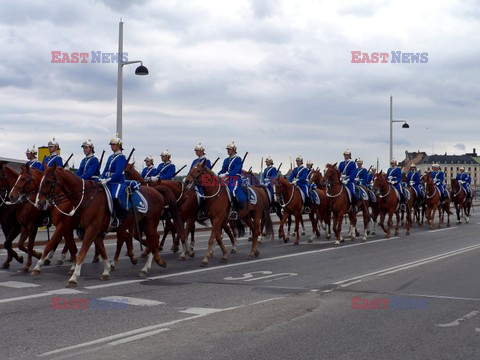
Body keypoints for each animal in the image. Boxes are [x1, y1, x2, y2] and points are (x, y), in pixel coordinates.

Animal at [34, 164, 176, 286]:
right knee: (149, 240)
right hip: (140, 224)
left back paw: (149, 266)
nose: (39, 203)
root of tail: (155, 190)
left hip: (150, 224)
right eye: (40, 181)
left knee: (153, 240)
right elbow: (101, 251)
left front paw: (73, 277)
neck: (86, 198)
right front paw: (106, 271)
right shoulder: (93, 232)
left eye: (48, 181)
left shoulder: (88, 229)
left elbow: (81, 252)